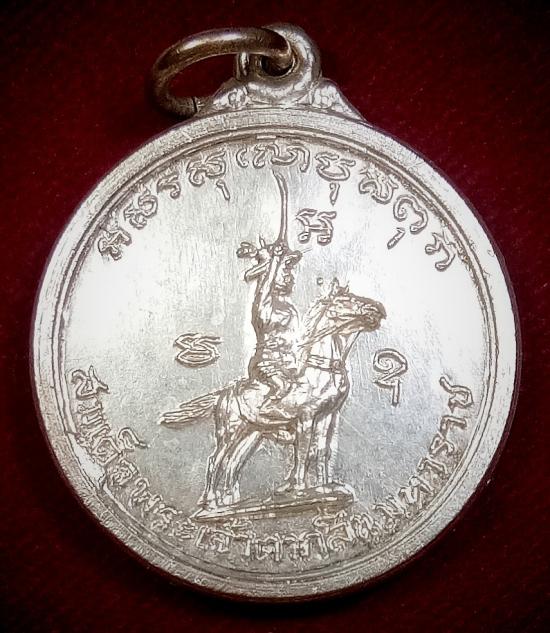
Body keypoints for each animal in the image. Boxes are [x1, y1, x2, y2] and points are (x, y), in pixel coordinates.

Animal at [160, 280, 385, 515]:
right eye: (345, 301)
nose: (376, 310)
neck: (320, 369)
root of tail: (225, 391)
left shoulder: (328, 416)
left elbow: (323, 451)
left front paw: (324, 487)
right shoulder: (306, 418)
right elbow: (303, 453)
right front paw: (300, 490)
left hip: (250, 435)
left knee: (232, 464)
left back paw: (231, 502)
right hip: (230, 431)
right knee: (215, 460)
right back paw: (211, 503)